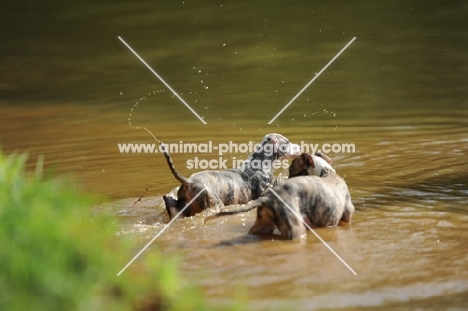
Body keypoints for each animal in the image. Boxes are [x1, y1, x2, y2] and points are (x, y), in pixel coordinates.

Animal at [162, 133, 300, 219]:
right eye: (287, 142)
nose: (299, 146)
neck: (259, 162)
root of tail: (189, 182)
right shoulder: (263, 190)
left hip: (180, 207)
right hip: (215, 203)